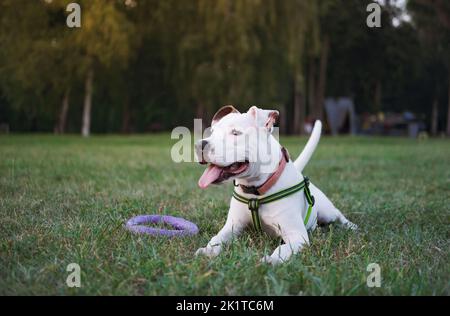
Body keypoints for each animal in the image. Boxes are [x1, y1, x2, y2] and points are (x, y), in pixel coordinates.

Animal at [195, 105, 356, 264]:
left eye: (236, 133)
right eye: (212, 132)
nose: (199, 145)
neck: (256, 191)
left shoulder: (297, 235)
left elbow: (283, 248)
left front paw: (272, 260)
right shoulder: (233, 225)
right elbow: (217, 238)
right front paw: (208, 250)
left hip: (326, 211)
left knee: (338, 215)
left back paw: (352, 227)